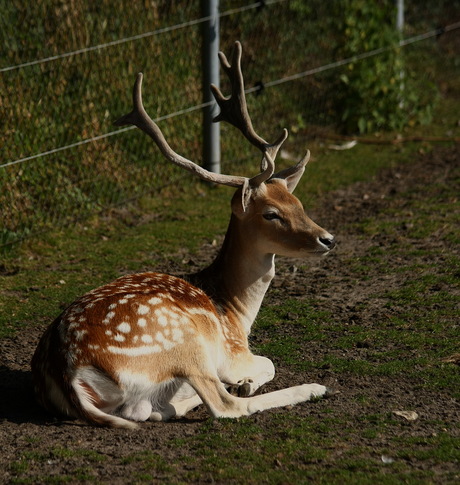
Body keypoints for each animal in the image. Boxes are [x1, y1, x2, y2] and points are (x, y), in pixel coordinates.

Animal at [31, 41, 334, 428]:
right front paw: (247, 382)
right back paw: (311, 388)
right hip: (186, 343)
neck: (236, 311)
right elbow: (268, 363)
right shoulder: (233, 351)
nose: (328, 238)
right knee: (222, 405)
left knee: (149, 411)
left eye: (298, 202)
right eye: (271, 214)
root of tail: (69, 374)